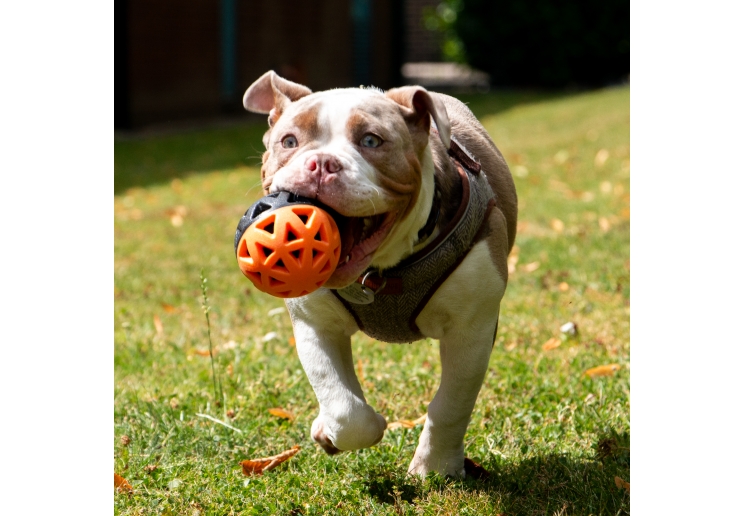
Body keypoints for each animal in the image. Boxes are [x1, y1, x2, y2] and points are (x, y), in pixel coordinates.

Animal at [244, 70, 516, 478]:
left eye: (371, 141)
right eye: (289, 141)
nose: (320, 164)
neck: (380, 272)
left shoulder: (472, 329)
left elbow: (451, 404)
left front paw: (435, 466)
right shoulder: (315, 324)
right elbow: (346, 409)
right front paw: (332, 431)